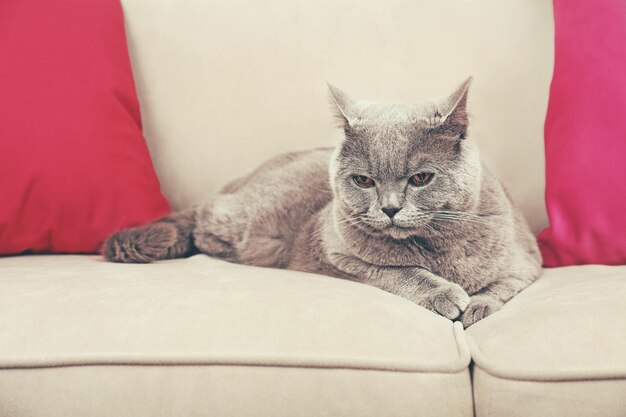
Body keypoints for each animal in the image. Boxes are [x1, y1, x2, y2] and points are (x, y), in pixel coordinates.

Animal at [103, 77, 540, 324]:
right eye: (363, 180)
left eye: (421, 178)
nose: (390, 208)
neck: (436, 247)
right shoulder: (338, 252)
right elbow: (400, 271)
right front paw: (445, 294)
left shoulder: (527, 261)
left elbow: (505, 284)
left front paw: (479, 306)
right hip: (251, 224)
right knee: (205, 216)